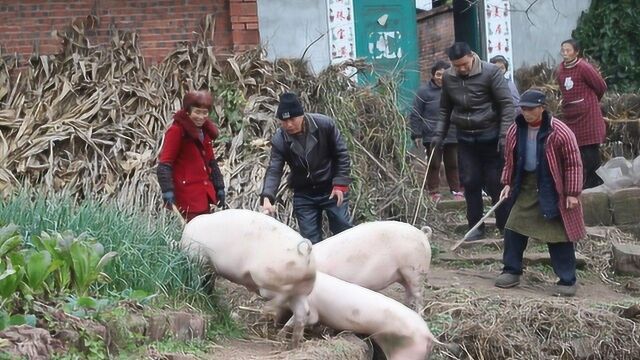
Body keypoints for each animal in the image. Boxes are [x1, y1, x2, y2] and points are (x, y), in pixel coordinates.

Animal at [180, 210, 316, 348]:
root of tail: (306, 252)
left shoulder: (199, 259)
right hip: (302, 289)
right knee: (303, 311)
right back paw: (292, 344)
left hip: (268, 277)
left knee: (282, 297)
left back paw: (268, 310)